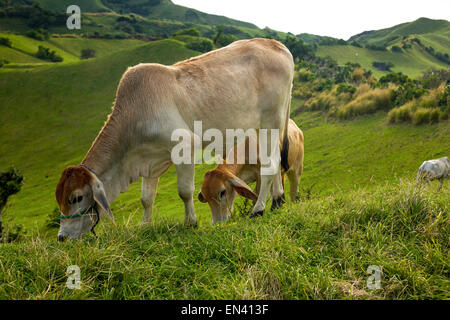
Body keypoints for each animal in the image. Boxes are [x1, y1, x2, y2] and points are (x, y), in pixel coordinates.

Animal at [54, 38, 294, 240]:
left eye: (76, 198)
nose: (62, 237)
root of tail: (277, 45)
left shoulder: (185, 147)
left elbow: (184, 191)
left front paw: (191, 222)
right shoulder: (149, 160)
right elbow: (146, 198)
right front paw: (145, 225)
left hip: (271, 121)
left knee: (271, 164)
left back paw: (259, 209)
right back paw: (277, 201)